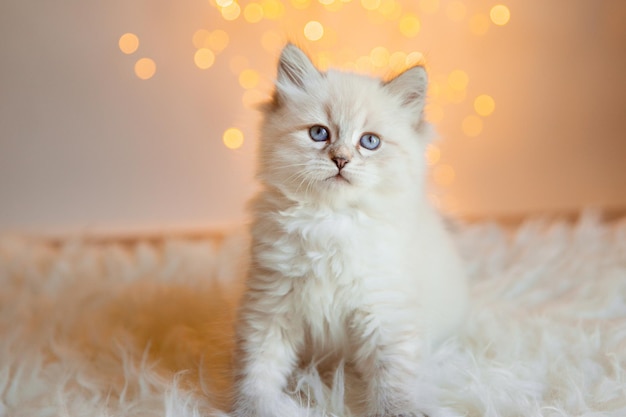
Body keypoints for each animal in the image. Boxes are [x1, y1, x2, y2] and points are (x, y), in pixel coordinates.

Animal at [232, 44, 466, 416]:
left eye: (369, 142)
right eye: (319, 133)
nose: (340, 159)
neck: (331, 221)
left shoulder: (384, 314)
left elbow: (391, 380)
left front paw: (398, 410)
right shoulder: (270, 307)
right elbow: (257, 371)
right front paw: (256, 409)